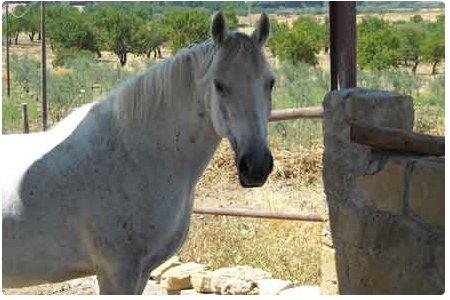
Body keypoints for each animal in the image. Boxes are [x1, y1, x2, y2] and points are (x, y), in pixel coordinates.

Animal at [1, 11, 274, 292]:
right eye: (218, 84)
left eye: (270, 83)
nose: (257, 167)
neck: (135, 155)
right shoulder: (118, 273)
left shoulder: (141, 272)